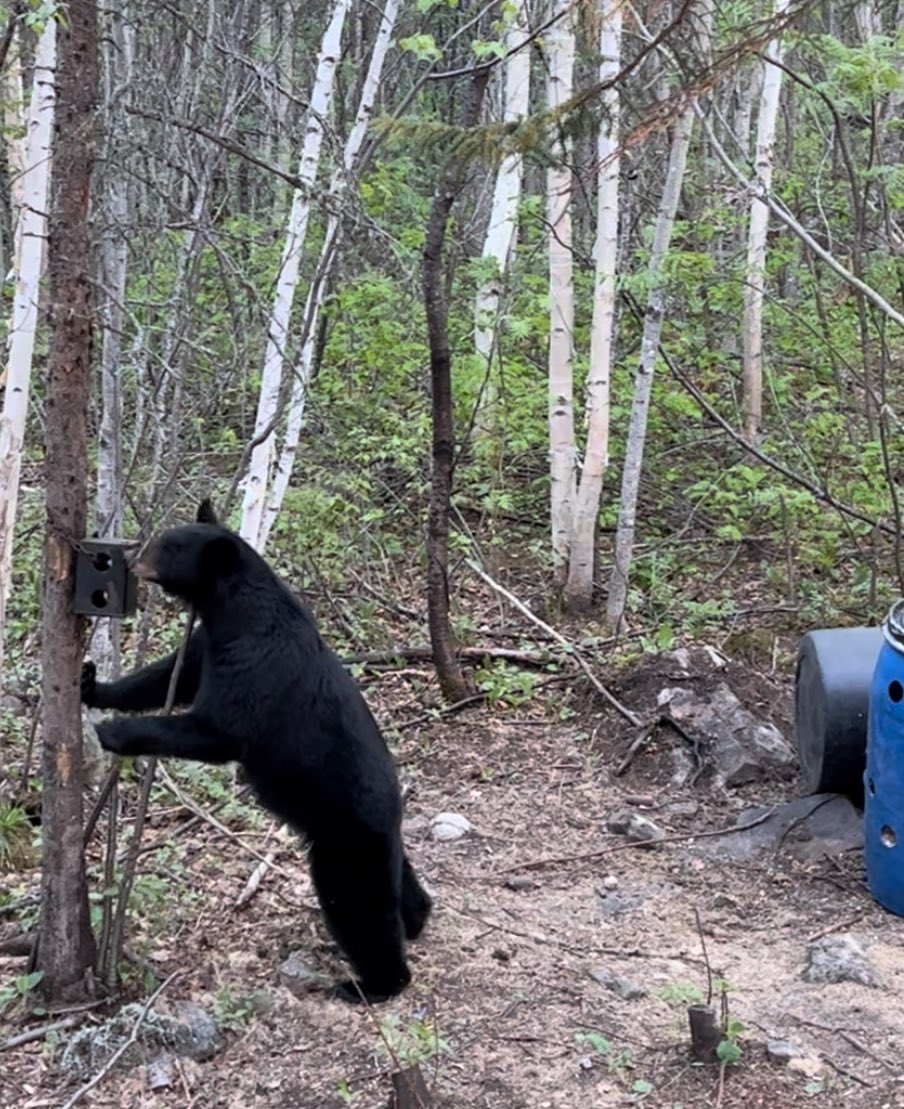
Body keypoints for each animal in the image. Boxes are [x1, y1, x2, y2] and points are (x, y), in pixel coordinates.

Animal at [82, 502, 432, 1003]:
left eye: (166, 545)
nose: (131, 558)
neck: (233, 610)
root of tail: (393, 809)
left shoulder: (257, 659)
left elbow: (219, 730)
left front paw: (115, 731)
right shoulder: (208, 643)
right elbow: (168, 676)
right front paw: (94, 685)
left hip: (342, 840)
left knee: (356, 907)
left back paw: (370, 982)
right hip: (376, 841)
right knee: (400, 882)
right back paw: (417, 917)